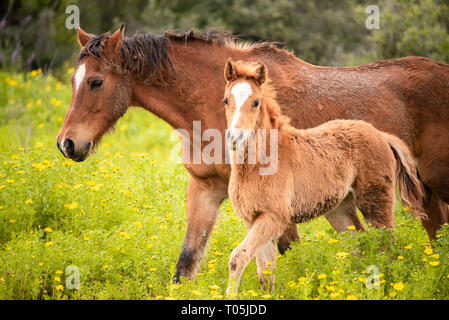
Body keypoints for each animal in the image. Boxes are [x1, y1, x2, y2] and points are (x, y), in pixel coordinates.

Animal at [57, 25, 448, 280]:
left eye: (96, 82)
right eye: (73, 80)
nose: (67, 144)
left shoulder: (276, 206)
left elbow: (285, 259)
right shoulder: (206, 188)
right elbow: (186, 264)